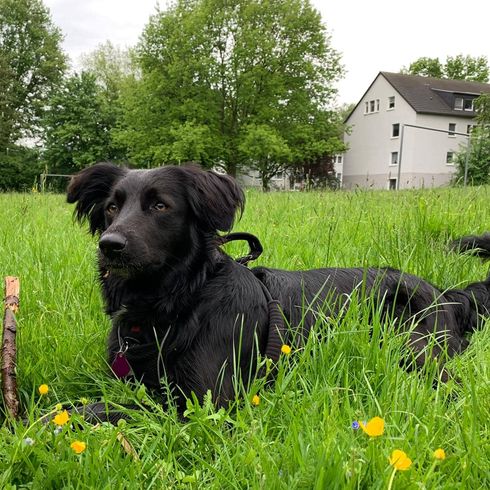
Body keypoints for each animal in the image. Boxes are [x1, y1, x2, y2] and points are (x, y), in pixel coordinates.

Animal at [67, 162, 488, 414]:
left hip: (412, 349)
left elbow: (108, 410)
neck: (183, 298)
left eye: (160, 206)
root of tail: (446, 294)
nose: (109, 245)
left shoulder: (206, 402)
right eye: (111, 207)